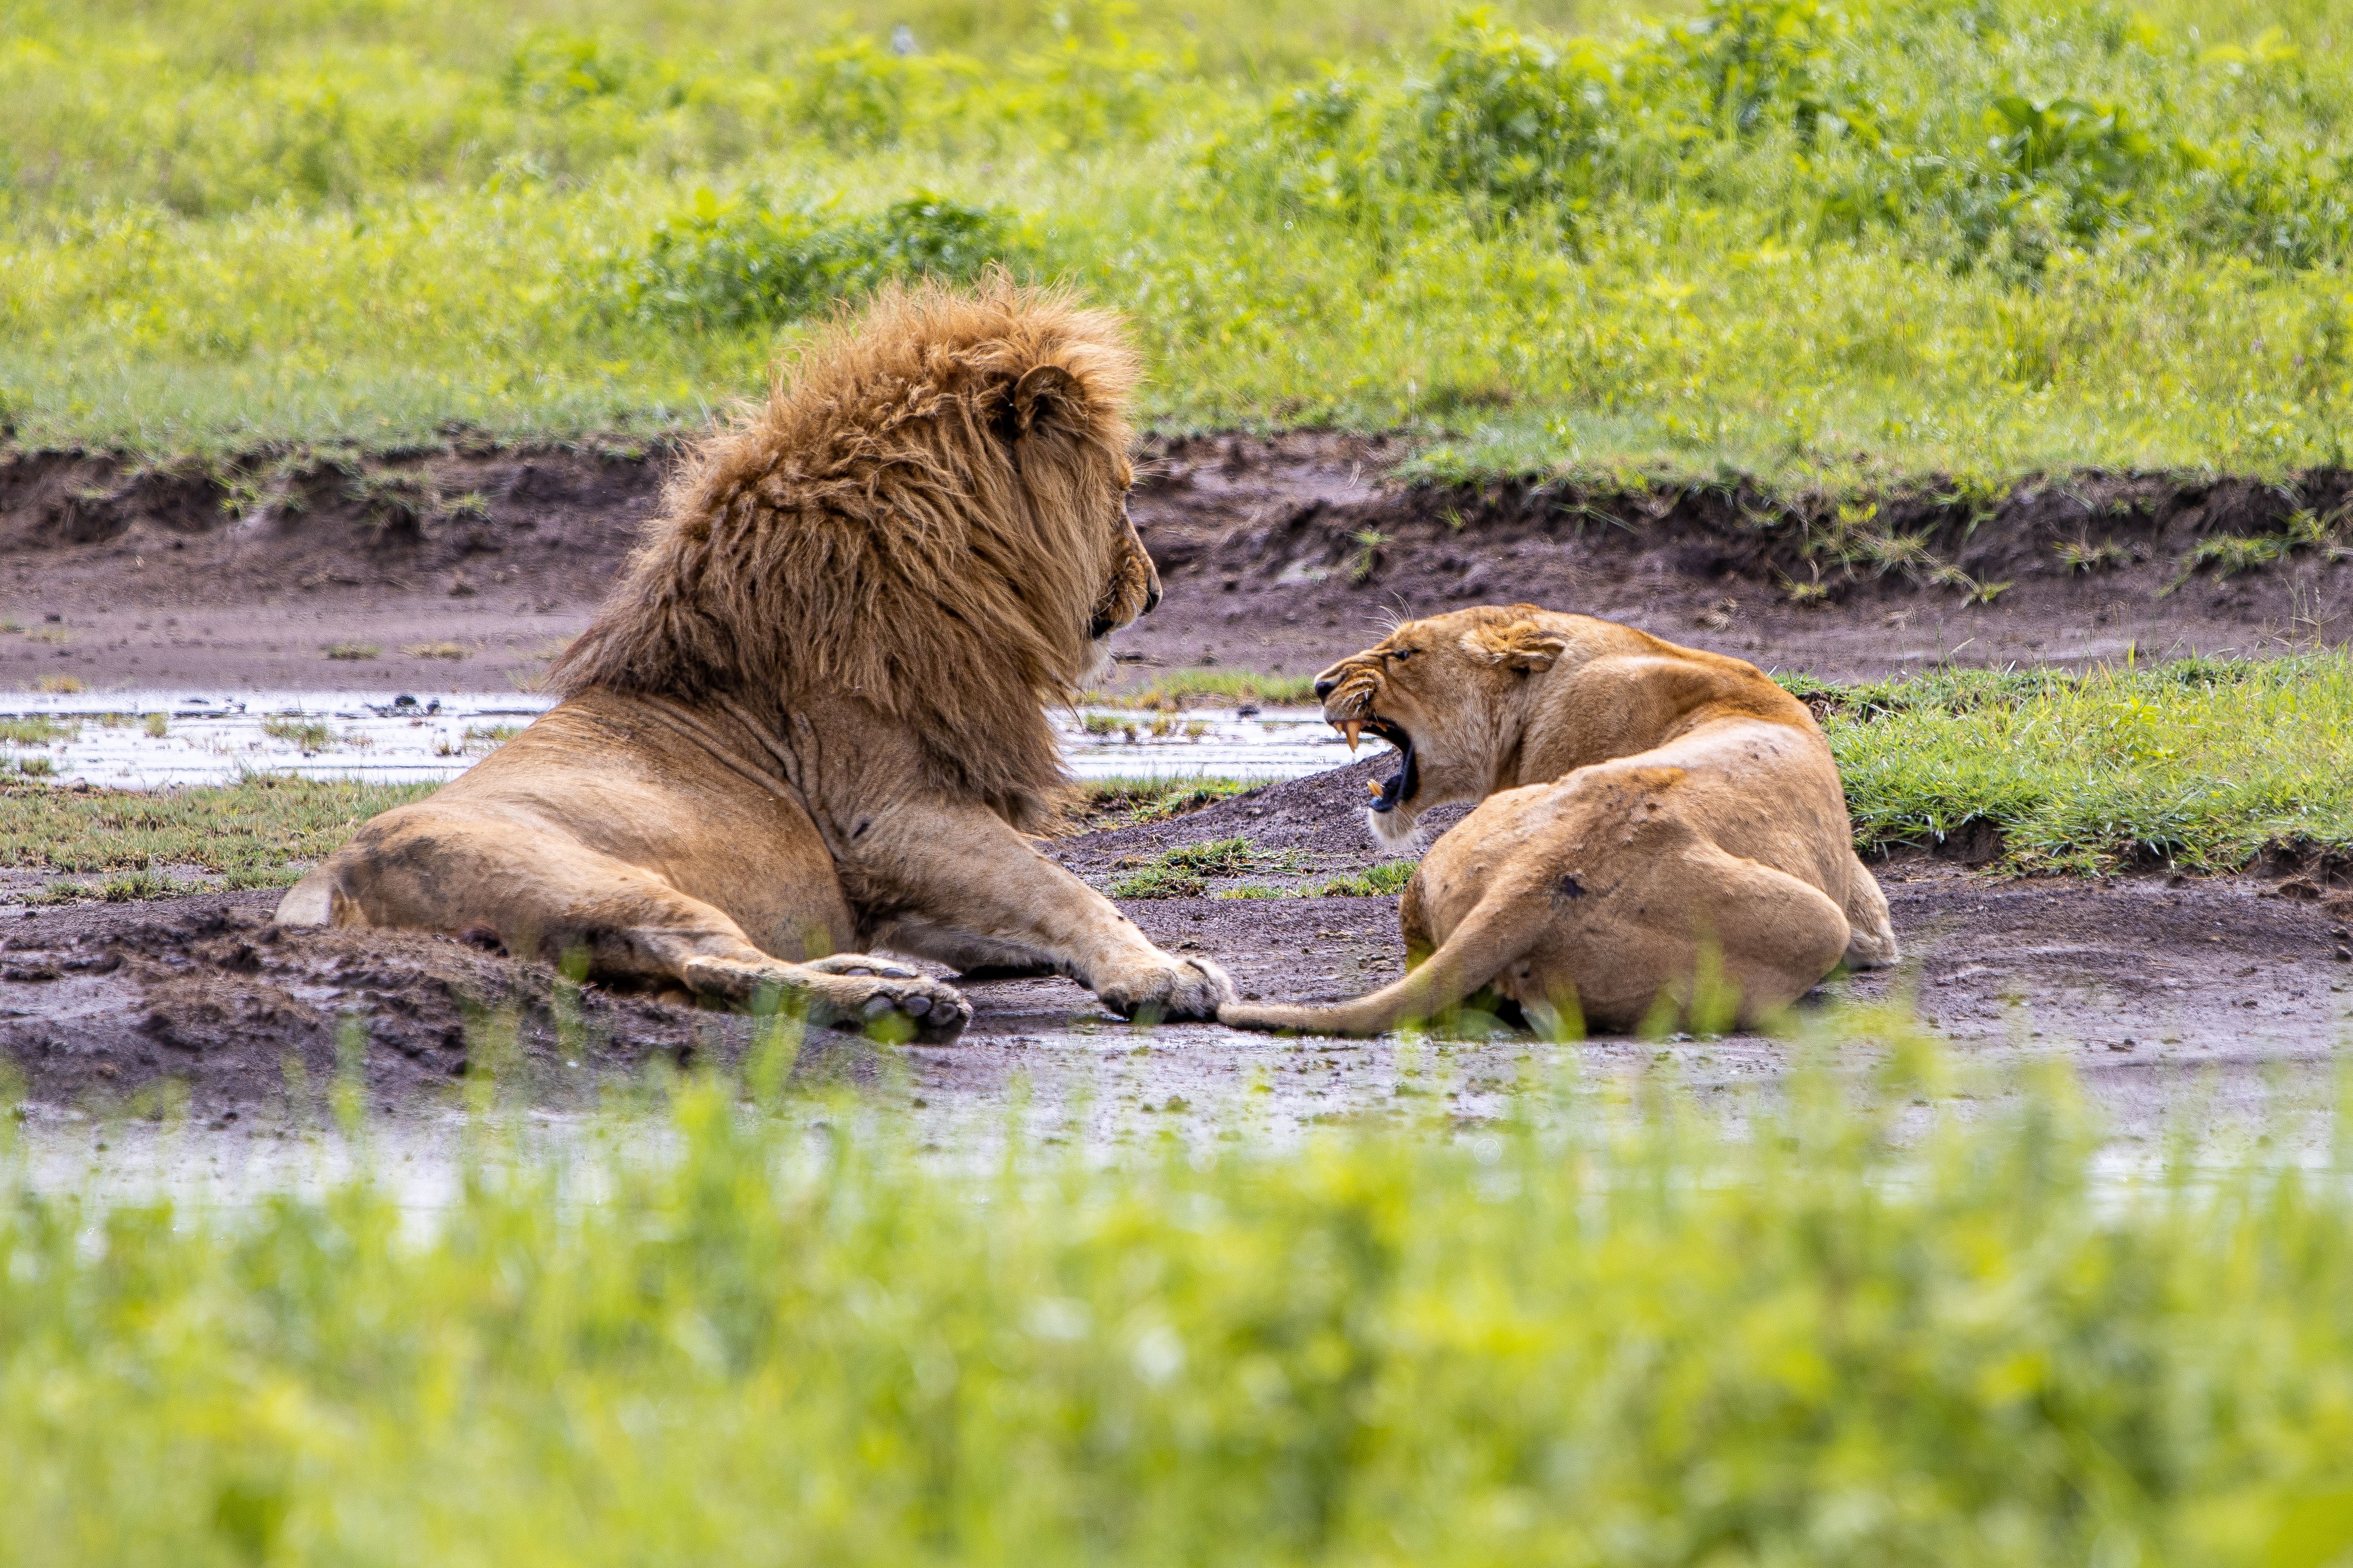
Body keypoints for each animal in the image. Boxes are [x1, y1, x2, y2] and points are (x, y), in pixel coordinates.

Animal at [275, 282, 1235, 1042]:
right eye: (1121, 490)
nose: (1154, 593)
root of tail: (330, 882)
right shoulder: (888, 819)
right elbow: (1063, 887)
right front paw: (1162, 972)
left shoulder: (892, 872)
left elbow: (1031, 905)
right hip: (601, 883)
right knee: (712, 964)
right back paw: (900, 1003)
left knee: (705, 978)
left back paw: (879, 979)